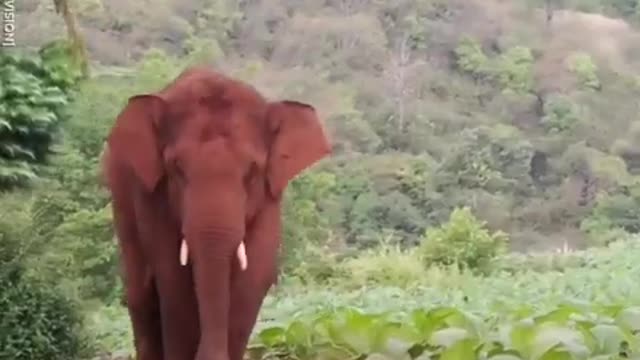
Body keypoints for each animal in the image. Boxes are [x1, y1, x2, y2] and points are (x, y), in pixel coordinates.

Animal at [102, 67, 332, 360]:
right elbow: (173, 278)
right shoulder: (150, 193)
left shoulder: (271, 196)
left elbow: (253, 276)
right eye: (176, 168)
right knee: (141, 295)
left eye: (253, 170)